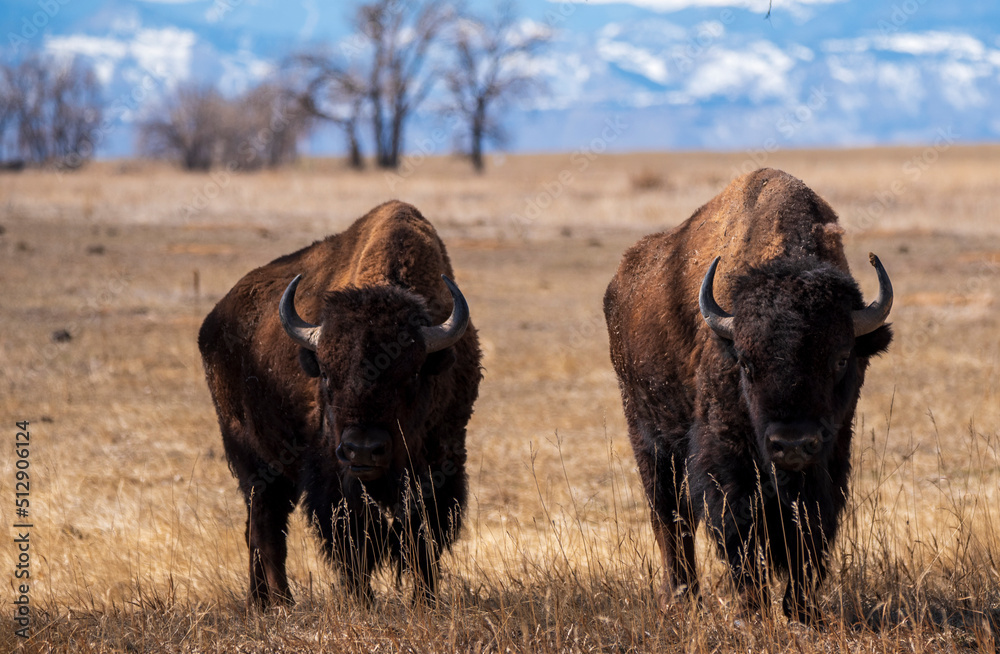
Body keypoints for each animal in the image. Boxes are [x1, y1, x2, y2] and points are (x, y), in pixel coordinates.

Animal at [198, 201, 480, 608]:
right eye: (327, 375)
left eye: (412, 375)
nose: (362, 449)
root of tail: (214, 321)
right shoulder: (335, 473)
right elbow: (352, 540)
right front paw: (363, 602)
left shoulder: (441, 464)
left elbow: (422, 538)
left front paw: (424, 601)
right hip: (253, 459)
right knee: (266, 527)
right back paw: (279, 603)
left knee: (259, 528)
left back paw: (264, 602)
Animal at [604, 167, 896, 624]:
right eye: (745, 361)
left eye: (840, 358)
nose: (791, 443)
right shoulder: (726, 459)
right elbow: (739, 529)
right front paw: (754, 610)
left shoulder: (831, 457)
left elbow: (810, 529)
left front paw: (801, 612)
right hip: (648, 437)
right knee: (670, 518)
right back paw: (683, 598)